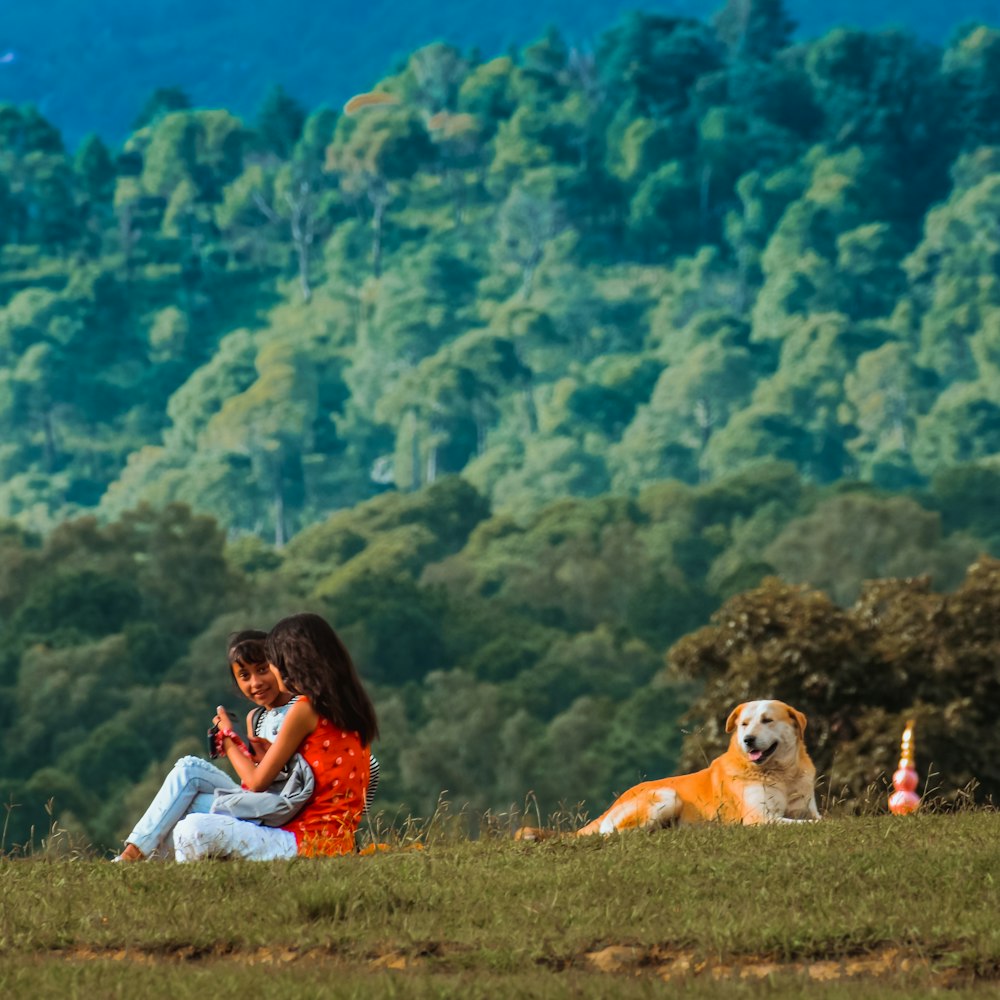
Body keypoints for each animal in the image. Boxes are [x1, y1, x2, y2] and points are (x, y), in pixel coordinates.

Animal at [516, 700, 820, 840]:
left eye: (767, 720)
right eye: (744, 724)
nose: (748, 740)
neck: (782, 774)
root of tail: (613, 804)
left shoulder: (805, 808)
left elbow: (816, 818)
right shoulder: (761, 818)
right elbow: (809, 823)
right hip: (666, 795)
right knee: (617, 833)